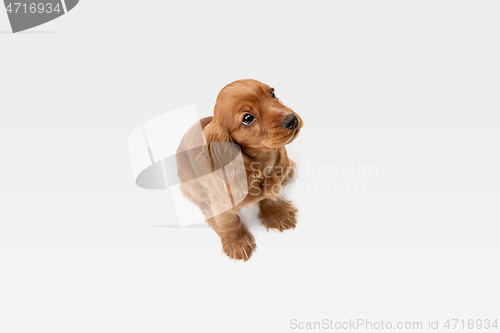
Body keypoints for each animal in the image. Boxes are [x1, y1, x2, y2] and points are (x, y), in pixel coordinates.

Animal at [174, 78, 302, 260]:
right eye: (247, 118)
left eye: (272, 93)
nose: (292, 120)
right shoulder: (222, 206)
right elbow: (230, 223)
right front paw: (237, 243)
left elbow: (271, 196)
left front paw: (277, 214)